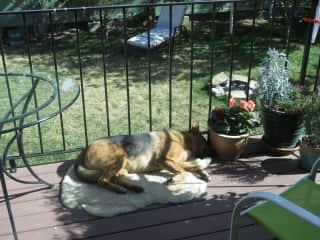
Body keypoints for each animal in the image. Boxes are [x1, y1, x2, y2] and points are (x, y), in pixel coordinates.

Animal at [74, 123, 211, 194]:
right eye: (205, 142)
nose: (211, 153)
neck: (183, 139)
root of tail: (82, 152)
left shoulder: (175, 162)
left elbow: (193, 165)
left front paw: (204, 172)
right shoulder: (164, 160)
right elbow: (186, 170)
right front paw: (174, 179)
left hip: (121, 168)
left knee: (113, 178)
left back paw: (134, 188)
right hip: (120, 156)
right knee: (102, 180)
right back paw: (119, 189)